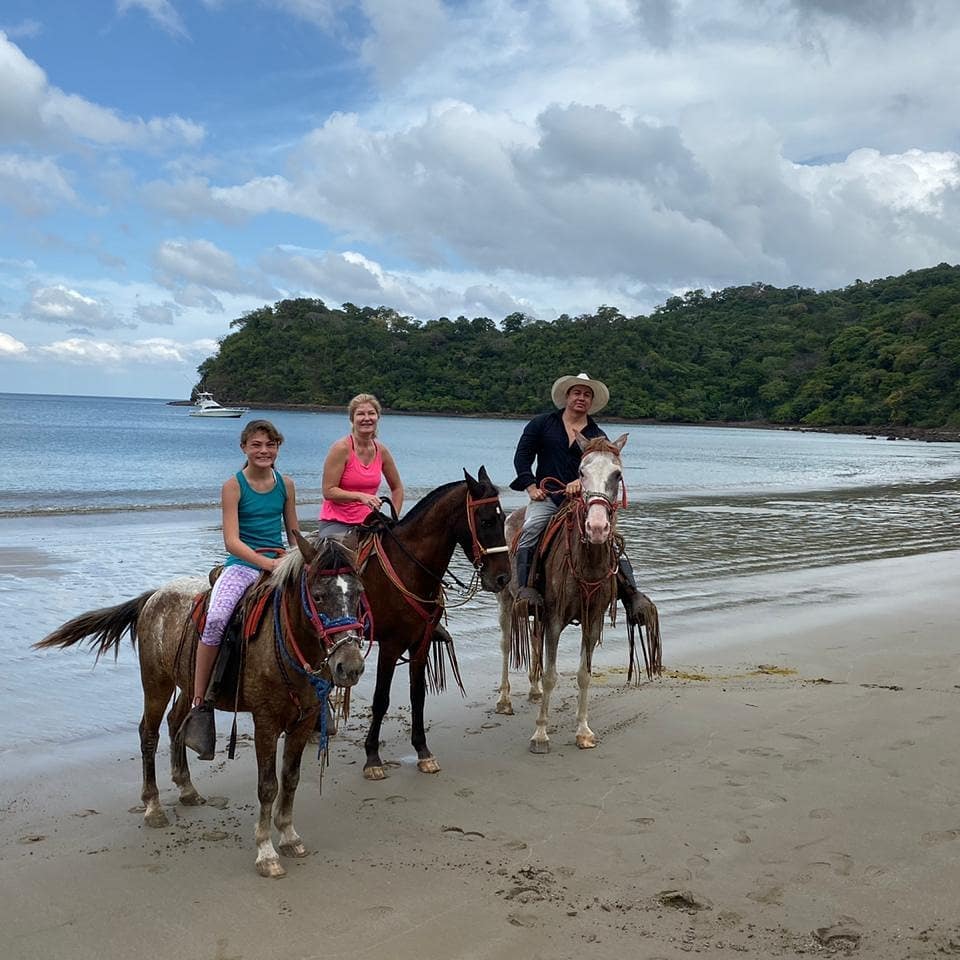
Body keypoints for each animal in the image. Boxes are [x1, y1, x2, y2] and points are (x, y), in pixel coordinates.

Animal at [35, 536, 366, 880]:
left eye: (358, 593)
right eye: (318, 596)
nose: (350, 667)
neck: (285, 641)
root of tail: (153, 597)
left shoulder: (304, 720)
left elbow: (290, 779)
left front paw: (289, 836)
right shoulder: (265, 722)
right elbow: (268, 786)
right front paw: (265, 851)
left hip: (188, 683)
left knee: (175, 723)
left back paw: (186, 787)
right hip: (156, 683)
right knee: (149, 734)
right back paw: (153, 805)